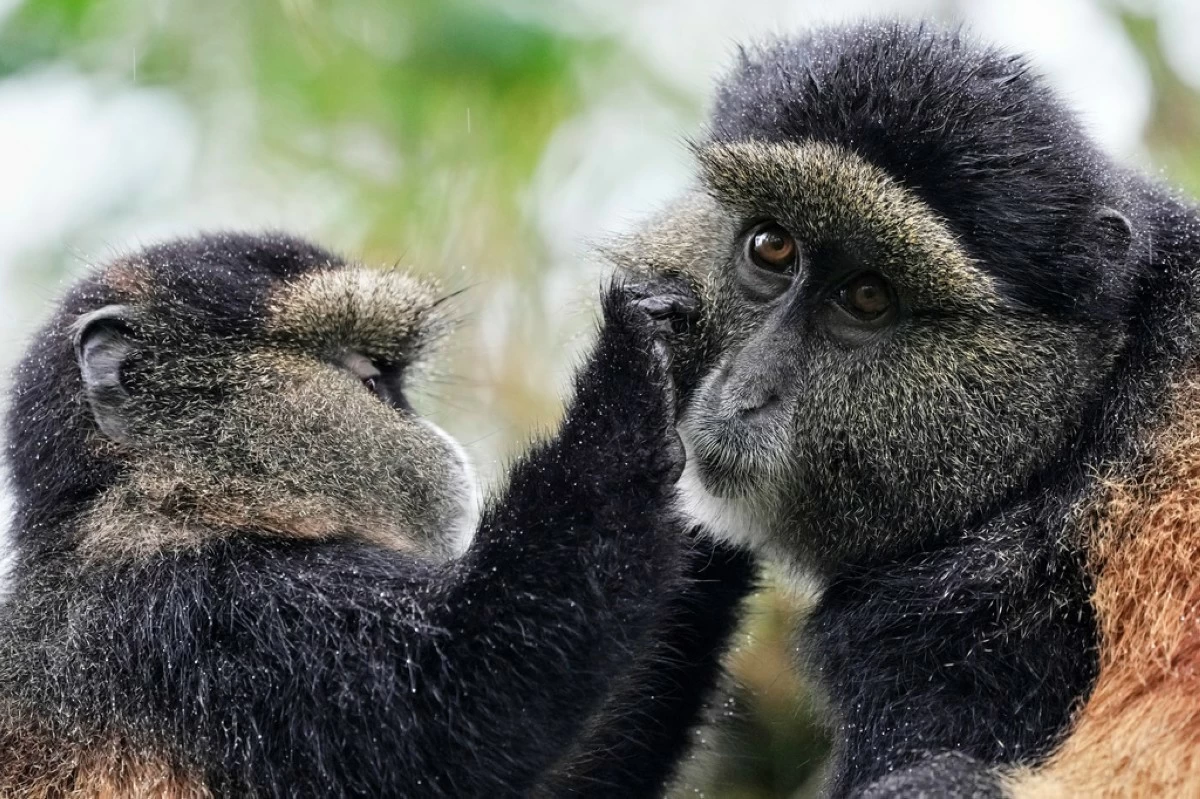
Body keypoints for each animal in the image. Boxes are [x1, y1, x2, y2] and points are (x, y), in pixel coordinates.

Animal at [0, 231, 751, 798]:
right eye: (367, 376)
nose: (429, 432)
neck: (148, 506)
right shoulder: (208, 621)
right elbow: (463, 699)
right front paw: (634, 355)